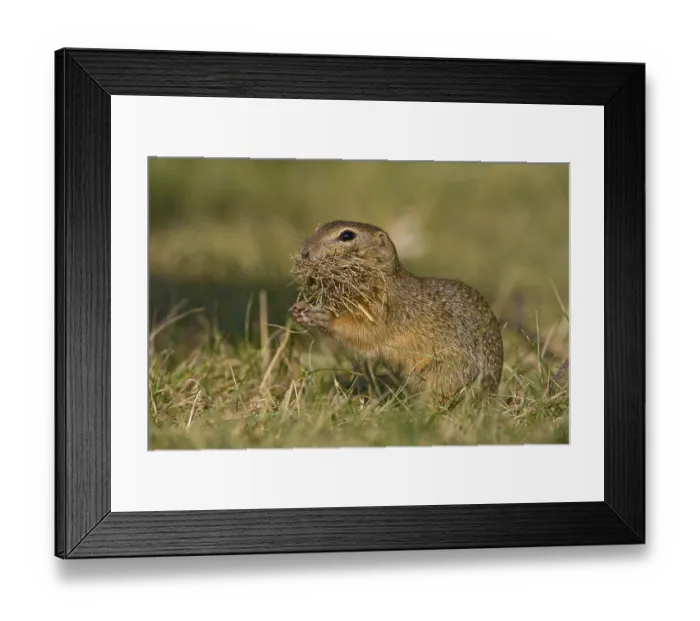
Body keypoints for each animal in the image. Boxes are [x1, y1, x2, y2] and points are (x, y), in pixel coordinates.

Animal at [290, 220, 504, 404]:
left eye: (347, 235)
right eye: (318, 228)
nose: (305, 252)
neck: (385, 279)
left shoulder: (387, 311)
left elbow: (365, 332)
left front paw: (326, 317)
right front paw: (301, 308)